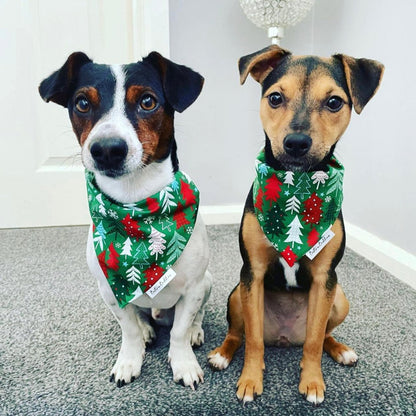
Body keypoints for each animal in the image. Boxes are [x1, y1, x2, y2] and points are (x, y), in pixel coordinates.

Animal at [38, 52, 211, 390]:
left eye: (147, 101)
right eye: (82, 103)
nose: (107, 150)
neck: (138, 210)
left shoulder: (194, 287)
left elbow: (180, 331)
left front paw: (184, 362)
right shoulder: (109, 289)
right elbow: (128, 328)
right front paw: (129, 360)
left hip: (208, 282)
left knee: (193, 318)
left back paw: (196, 331)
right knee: (139, 315)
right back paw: (146, 329)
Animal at [208, 44, 384, 404]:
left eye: (334, 102)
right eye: (275, 98)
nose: (297, 143)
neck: (297, 188)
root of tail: (285, 337)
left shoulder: (324, 277)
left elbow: (315, 341)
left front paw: (313, 382)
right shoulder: (253, 272)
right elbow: (254, 340)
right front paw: (250, 380)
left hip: (339, 298)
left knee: (321, 335)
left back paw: (341, 350)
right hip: (237, 295)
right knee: (239, 333)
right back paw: (221, 354)